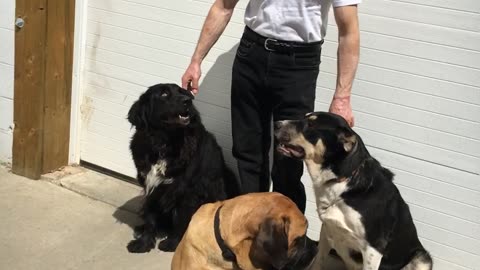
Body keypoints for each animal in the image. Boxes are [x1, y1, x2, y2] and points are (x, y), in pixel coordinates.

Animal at [126, 83, 239, 252]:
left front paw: (172, 243)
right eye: (164, 94)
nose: (188, 101)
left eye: (182, 92)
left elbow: (181, 219)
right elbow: (150, 216)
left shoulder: (187, 190)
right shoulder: (151, 186)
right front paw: (143, 243)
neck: (164, 143)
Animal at [272, 110, 434, 268]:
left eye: (311, 125)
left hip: (422, 258)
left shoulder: (373, 248)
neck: (344, 179)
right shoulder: (327, 230)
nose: (276, 123)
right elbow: (318, 261)